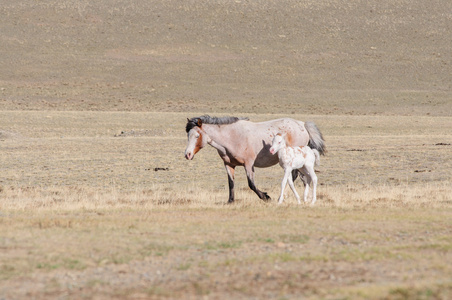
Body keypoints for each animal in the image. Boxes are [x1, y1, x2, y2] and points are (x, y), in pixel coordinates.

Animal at [184, 115, 324, 204]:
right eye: (188, 135)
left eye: (197, 135)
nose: (187, 154)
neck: (232, 137)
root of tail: (303, 125)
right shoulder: (229, 165)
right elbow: (231, 183)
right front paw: (230, 201)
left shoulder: (248, 164)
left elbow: (251, 184)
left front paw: (266, 197)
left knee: (297, 178)